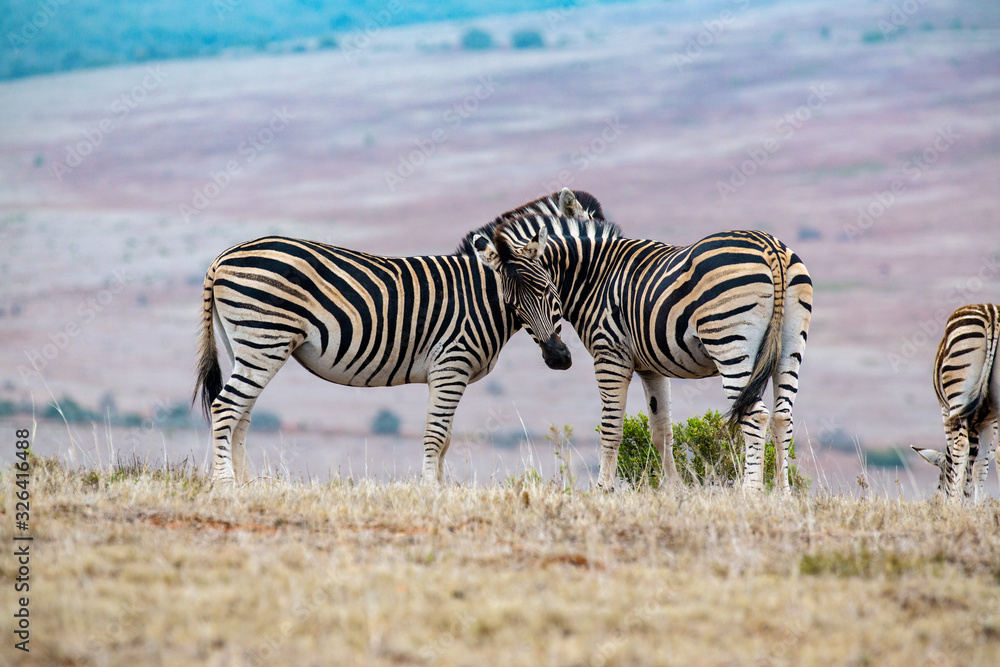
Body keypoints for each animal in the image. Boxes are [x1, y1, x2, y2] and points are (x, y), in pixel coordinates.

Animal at [193, 229, 572, 486]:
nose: (558, 357)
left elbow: (446, 438)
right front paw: (431, 490)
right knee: (226, 407)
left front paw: (443, 488)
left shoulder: (451, 374)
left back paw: (248, 485)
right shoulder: (452, 365)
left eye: (548, 291)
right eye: (511, 302)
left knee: (241, 414)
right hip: (265, 340)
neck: (479, 302)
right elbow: (436, 435)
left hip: (246, 345)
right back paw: (227, 485)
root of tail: (221, 260)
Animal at [468, 188, 813, 492]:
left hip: (729, 340)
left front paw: (602, 491)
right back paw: (782, 495)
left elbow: (611, 428)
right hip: (791, 343)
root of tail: (770, 247)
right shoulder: (651, 366)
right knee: (781, 417)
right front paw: (673, 491)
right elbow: (662, 431)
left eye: (547, 292)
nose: (557, 359)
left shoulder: (610, 355)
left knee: (756, 415)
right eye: (512, 305)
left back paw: (751, 492)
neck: (594, 273)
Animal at [912, 303, 999, 501]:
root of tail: (990, 312)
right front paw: (972, 503)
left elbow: (958, 456)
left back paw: (953, 501)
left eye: (940, 480)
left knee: (960, 444)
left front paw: (957, 500)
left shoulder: (945, 411)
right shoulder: (988, 420)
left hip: (957, 396)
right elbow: (979, 462)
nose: (937, 500)